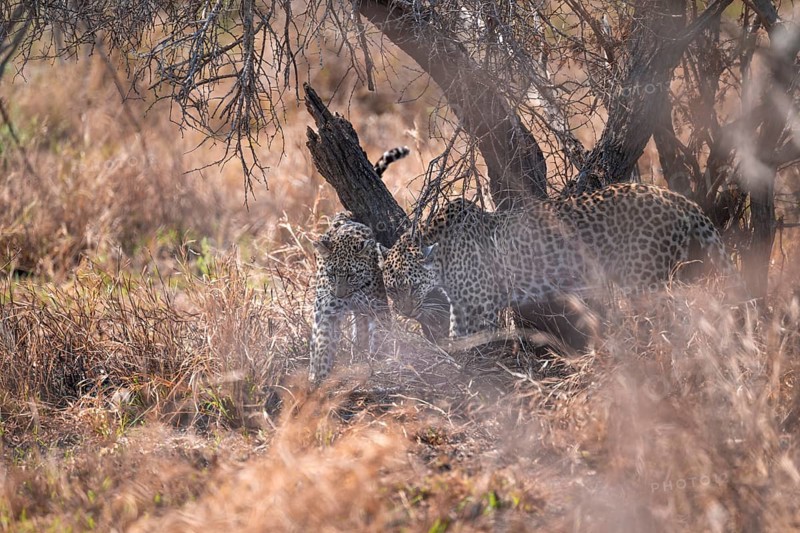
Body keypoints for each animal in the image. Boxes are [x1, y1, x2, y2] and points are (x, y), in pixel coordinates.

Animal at [308, 146, 410, 382]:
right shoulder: (327, 312)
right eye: (331, 274)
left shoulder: (379, 308)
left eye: (352, 275)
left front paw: (377, 360)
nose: (340, 295)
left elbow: (379, 337)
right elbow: (323, 344)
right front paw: (319, 376)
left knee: (362, 326)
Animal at [379, 183, 737, 340]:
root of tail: (675, 197)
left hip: (644, 280)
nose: (404, 313)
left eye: (412, 287)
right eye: (391, 289)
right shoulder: (463, 305)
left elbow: (475, 339)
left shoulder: (481, 305)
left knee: (668, 316)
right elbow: (458, 335)